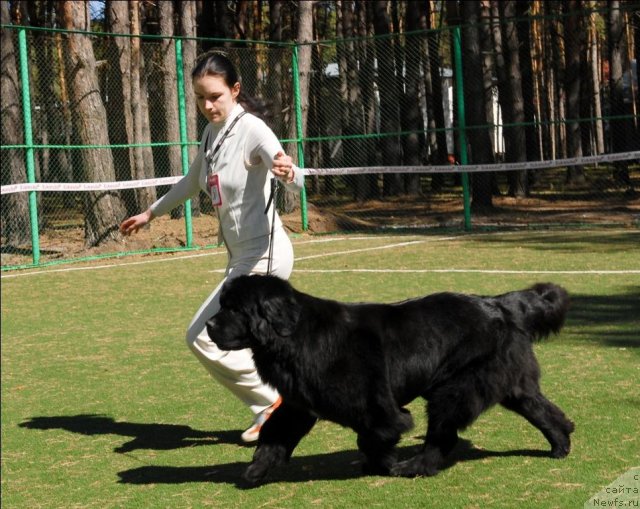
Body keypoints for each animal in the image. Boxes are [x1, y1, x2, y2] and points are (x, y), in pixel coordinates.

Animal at [206, 276, 576, 482]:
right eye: (223, 305)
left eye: (235, 309)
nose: (208, 325)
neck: (295, 336)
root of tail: (499, 303)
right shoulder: (298, 406)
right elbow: (275, 435)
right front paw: (256, 470)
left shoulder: (376, 407)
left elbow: (375, 433)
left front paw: (380, 464)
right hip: (511, 384)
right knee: (544, 410)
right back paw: (561, 445)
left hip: (455, 389)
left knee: (443, 435)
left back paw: (415, 466)